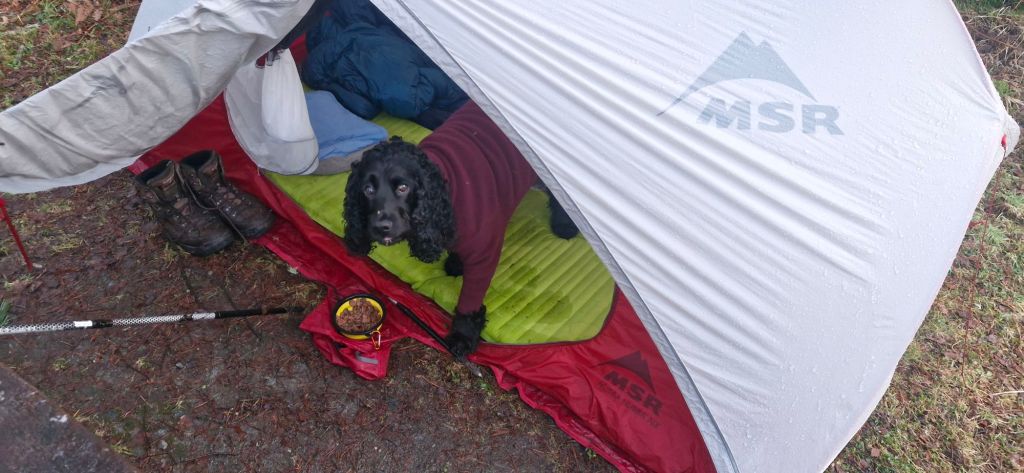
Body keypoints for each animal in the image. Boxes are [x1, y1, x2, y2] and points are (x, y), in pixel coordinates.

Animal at [343, 102, 578, 358]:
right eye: (367, 189)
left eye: (403, 188)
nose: (380, 226)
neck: (446, 189)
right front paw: (456, 264)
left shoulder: (484, 256)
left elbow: (470, 300)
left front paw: (463, 336)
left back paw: (565, 225)